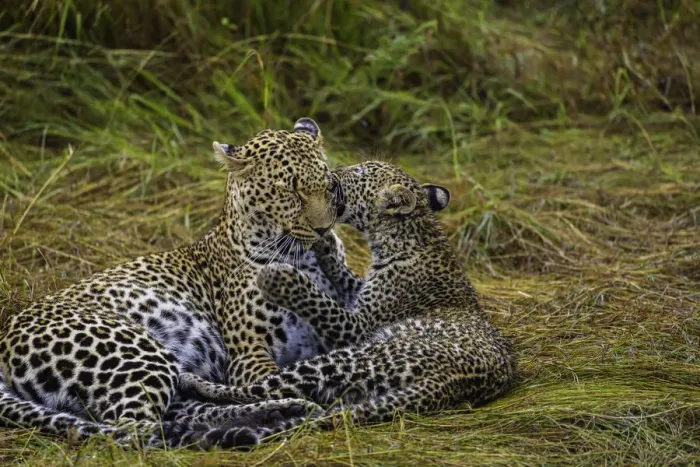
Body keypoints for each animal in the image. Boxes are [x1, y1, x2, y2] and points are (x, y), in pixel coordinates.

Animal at [0, 118, 347, 448]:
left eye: (329, 185)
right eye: (291, 191)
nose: (324, 228)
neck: (303, 257)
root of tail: (4, 340)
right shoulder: (248, 351)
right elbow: (272, 377)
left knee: (185, 407)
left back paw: (280, 414)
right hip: (138, 352)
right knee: (134, 427)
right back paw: (273, 421)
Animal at [178, 160, 516, 428]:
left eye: (361, 171)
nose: (332, 174)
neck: (410, 235)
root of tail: (450, 385)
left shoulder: (358, 325)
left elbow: (320, 302)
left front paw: (280, 277)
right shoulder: (360, 295)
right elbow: (346, 277)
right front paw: (326, 245)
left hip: (355, 357)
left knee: (266, 387)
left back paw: (192, 381)